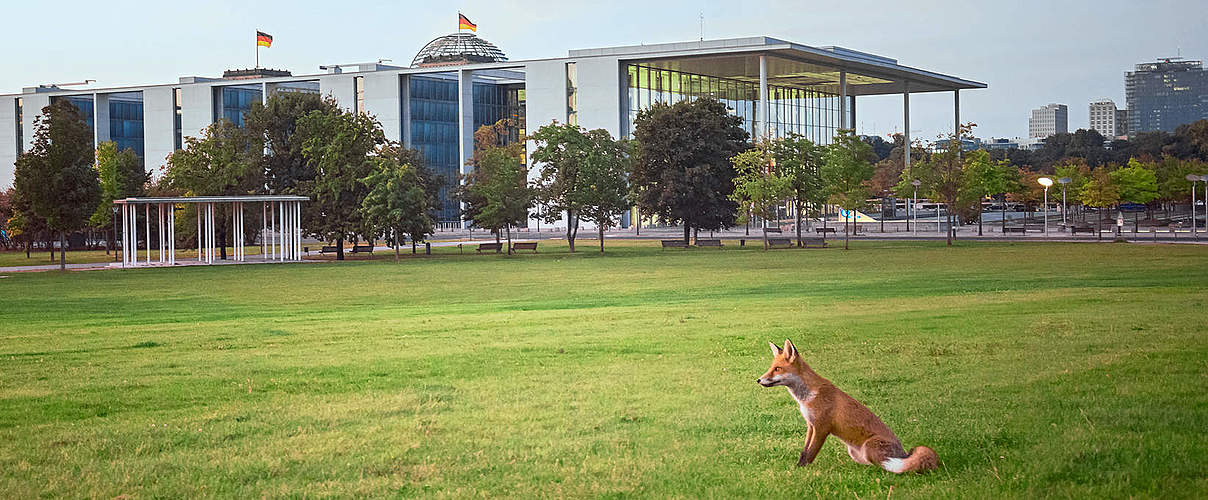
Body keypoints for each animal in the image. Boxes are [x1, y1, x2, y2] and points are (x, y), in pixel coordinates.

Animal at [753, 340, 942, 473]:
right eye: (771, 367)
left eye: (777, 369)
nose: (759, 380)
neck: (807, 397)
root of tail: (903, 454)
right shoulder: (810, 425)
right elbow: (804, 451)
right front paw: (797, 467)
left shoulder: (822, 427)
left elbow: (811, 452)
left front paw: (802, 470)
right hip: (855, 452)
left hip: (869, 447)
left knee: (890, 466)